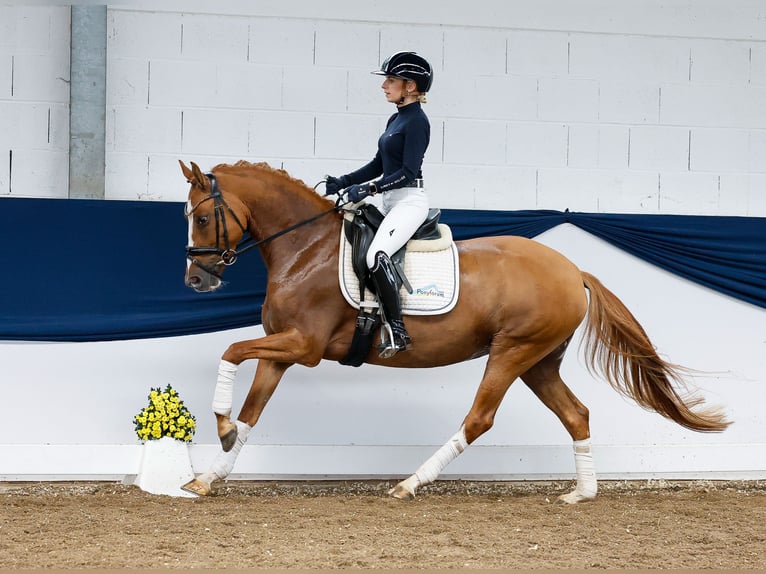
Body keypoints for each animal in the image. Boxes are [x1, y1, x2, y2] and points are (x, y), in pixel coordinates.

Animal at [178, 160, 732, 502]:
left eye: (202, 218)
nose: (197, 280)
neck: (305, 248)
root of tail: (573, 271)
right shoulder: (283, 350)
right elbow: (252, 412)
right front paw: (212, 471)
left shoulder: (304, 346)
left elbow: (231, 351)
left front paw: (219, 427)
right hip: (538, 363)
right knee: (576, 414)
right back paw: (582, 492)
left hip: (512, 352)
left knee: (479, 419)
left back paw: (410, 484)